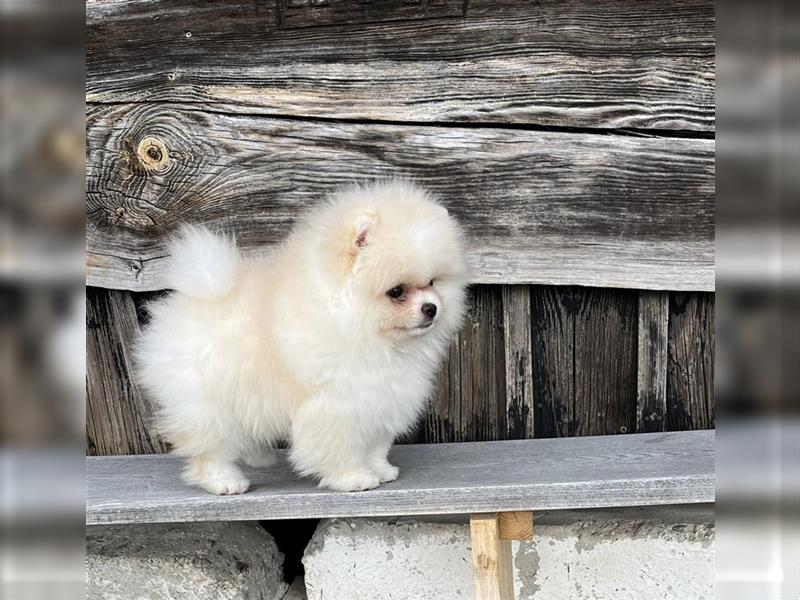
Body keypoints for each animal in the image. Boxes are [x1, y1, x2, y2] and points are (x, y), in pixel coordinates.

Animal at [134, 180, 466, 494]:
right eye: (396, 291)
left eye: (432, 282)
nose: (431, 308)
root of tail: (196, 297)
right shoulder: (337, 404)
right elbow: (340, 447)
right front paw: (354, 478)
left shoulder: (380, 400)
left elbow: (375, 446)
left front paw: (381, 470)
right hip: (207, 404)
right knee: (211, 449)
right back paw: (225, 482)